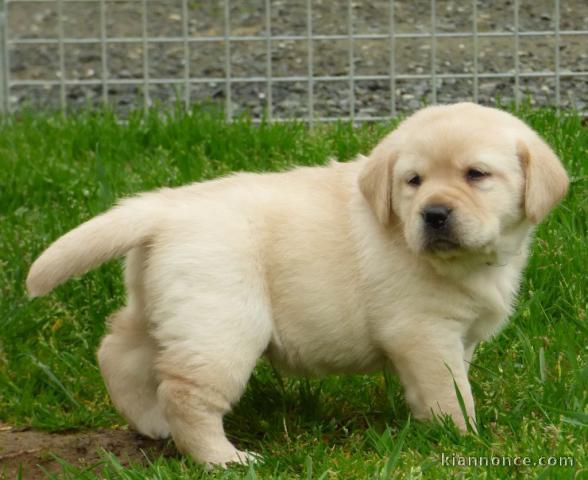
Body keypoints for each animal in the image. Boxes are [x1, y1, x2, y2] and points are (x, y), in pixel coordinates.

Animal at [28, 102, 568, 464]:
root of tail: (163, 208)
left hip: (167, 307)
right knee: (186, 393)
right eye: (413, 181)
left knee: (118, 351)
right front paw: (461, 437)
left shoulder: (455, 335)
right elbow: (448, 389)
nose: (433, 214)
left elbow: (449, 381)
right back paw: (224, 459)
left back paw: (151, 423)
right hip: (221, 323)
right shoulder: (423, 331)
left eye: (477, 174)